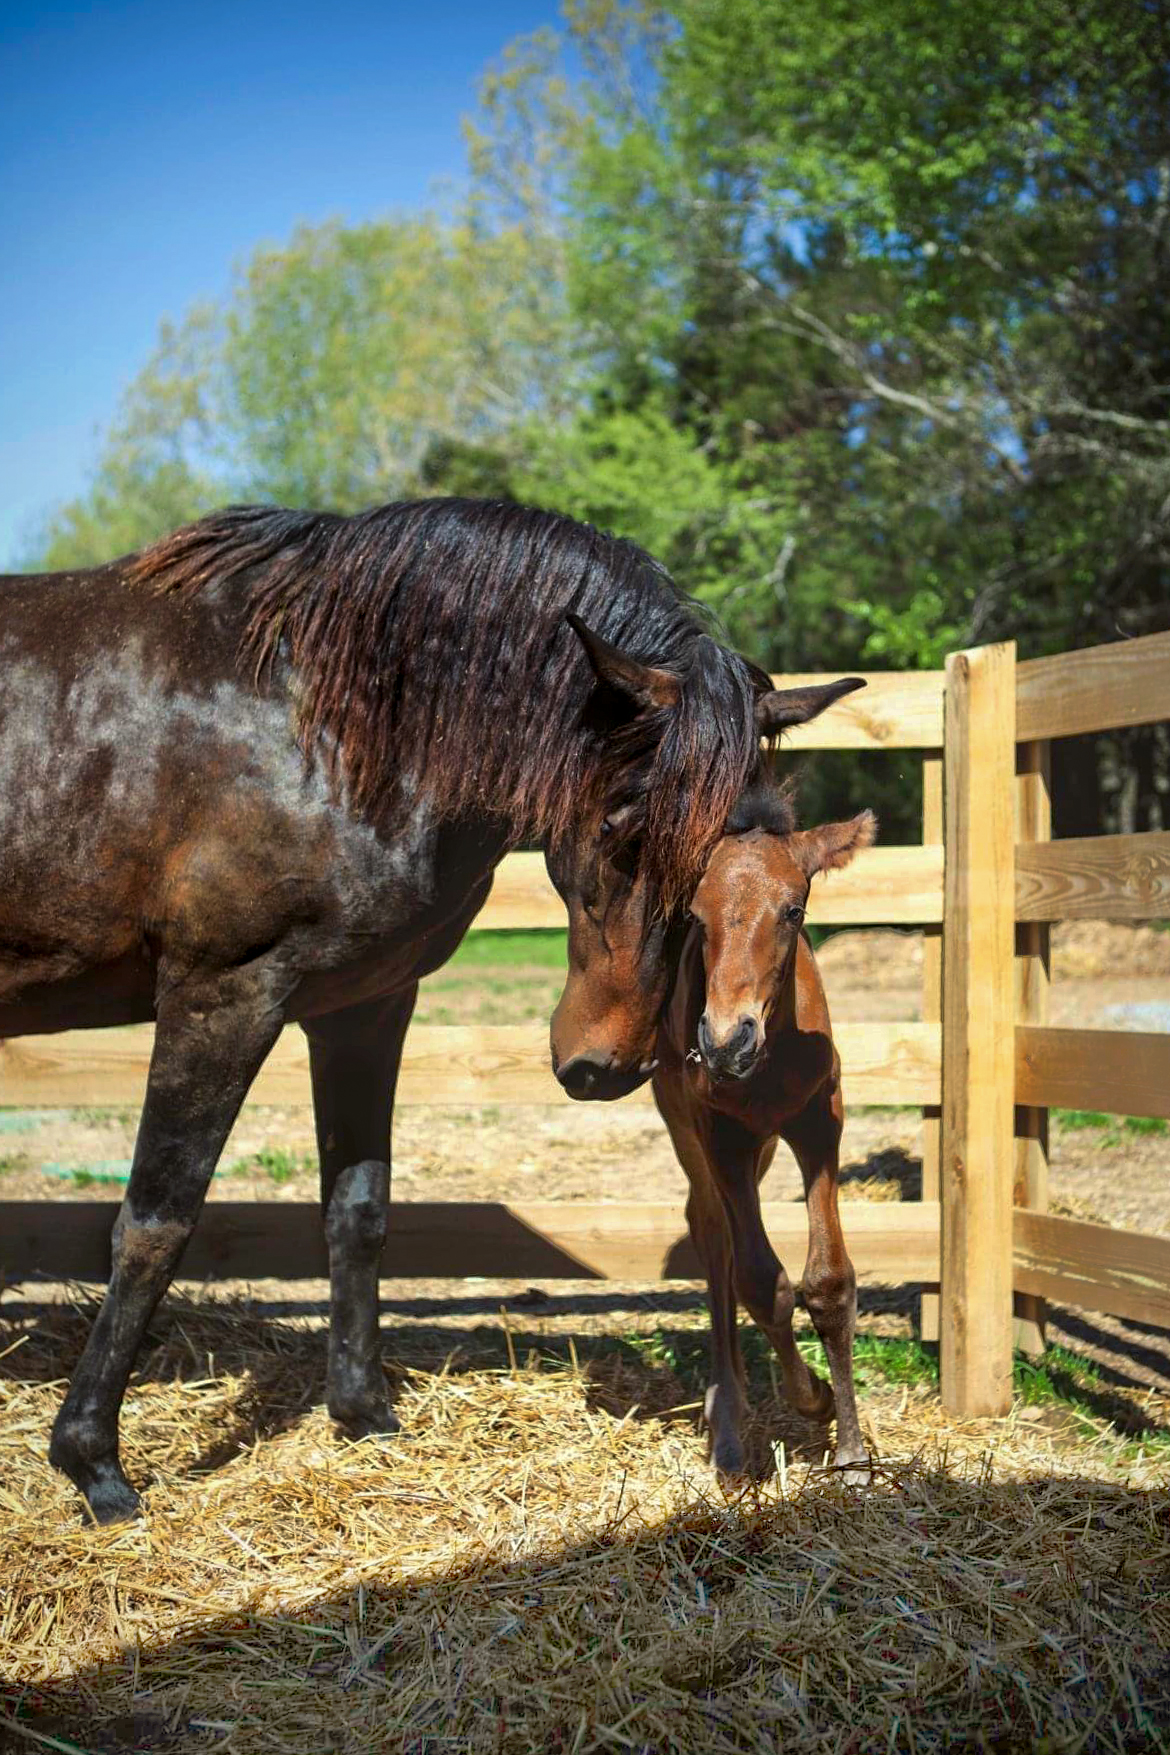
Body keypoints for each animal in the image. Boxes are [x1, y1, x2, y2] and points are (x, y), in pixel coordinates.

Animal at [656, 814, 873, 1474]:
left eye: (793, 910)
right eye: (695, 915)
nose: (727, 1041)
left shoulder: (819, 1123)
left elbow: (828, 1281)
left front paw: (852, 1455)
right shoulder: (721, 1134)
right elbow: (760, 1281)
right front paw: (814, 1399)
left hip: (766, 1144)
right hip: (687, 1124)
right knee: (712, 1231)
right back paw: (726, 1414)